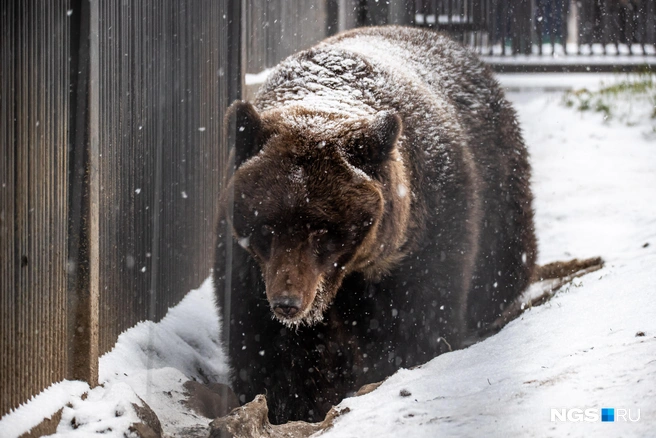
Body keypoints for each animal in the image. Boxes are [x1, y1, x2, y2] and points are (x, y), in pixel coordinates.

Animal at [213, 25, 537, 424]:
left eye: (323, 230)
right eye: (266, 227)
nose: (288, 302)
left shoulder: (422, 243)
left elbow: (416, 325)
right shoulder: (248, 264)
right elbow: (268, 345)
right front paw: (291, 404)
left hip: (500, 200)